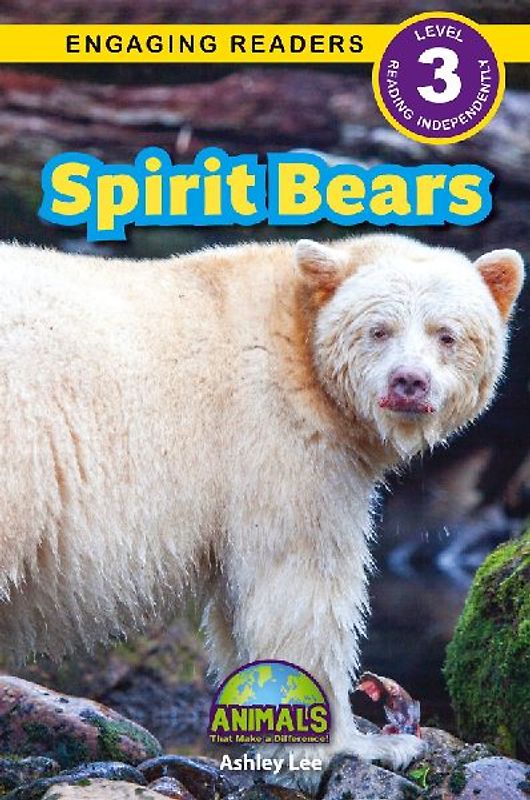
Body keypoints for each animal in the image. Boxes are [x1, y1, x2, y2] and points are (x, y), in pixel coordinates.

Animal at [0, 234, 524, 774]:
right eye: (379, 330)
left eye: (447, 335)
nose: (409, 382)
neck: (296, 336)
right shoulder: (276, 436)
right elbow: (299, 585)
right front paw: (368, 744)